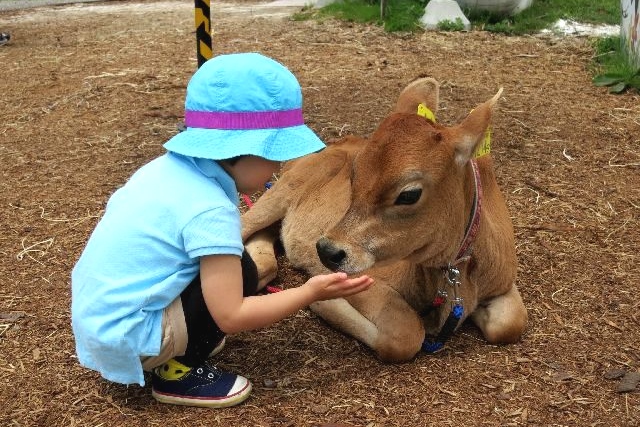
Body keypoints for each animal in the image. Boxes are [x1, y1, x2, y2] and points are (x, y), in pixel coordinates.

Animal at [242, 78, 528, 362]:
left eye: (409, 194)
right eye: (354, 173)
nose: (326, 250)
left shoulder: (503, 283)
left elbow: (511, 322)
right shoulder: (366, 276)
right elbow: (405, 333)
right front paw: (323, 302)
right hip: (278, 194)